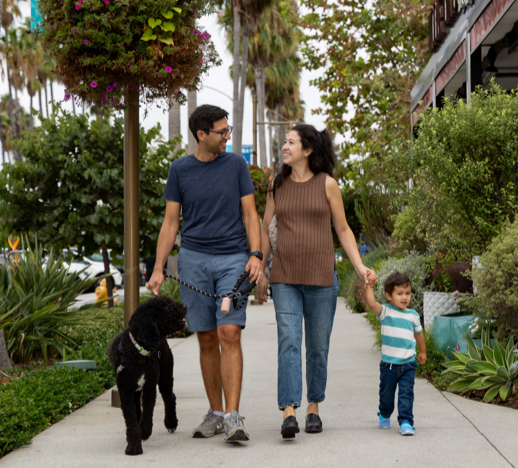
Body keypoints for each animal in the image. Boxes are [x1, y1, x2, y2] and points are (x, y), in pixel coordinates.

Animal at [107, 296, 187, 458]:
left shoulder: (150, 386)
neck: (138, 353)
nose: (185, 306)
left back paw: (171, 423)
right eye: (166, 307)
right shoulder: (125, 391)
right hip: (136, 389)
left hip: (165, 375)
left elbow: (148, 412)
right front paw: (133, 445)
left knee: (170, 397)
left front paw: (144, 432)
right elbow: (131, 418)